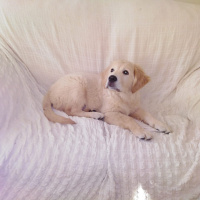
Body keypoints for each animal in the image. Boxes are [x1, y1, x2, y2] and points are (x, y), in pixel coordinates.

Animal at [43, 60, 171, 140]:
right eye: (112, 70)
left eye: (126, 72)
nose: (111, 78)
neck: (123, 95)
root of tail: (50, 89)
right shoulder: (110, 113)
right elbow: (129, 119)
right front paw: (142, 131)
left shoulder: (135, 108)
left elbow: (148, 115)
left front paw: (161, 124)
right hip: (78, 85)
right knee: (72, 111)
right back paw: (96, 115)